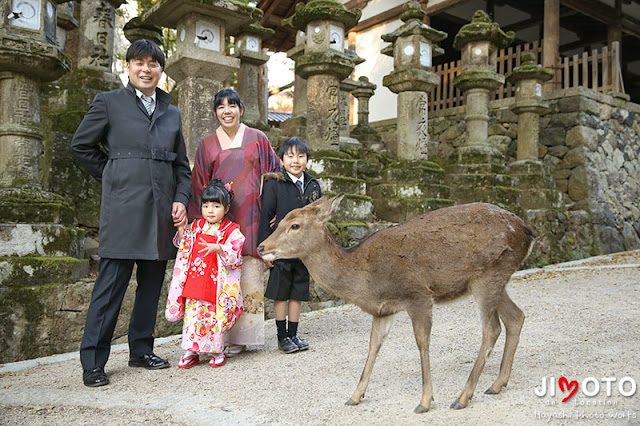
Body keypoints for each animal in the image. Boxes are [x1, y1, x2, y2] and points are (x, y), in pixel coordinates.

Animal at [258, 196, 532, 412]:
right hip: (496, 280)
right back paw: (496, 384)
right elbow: (373, 346)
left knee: (492, 329)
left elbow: (422, 342)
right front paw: (355, 396)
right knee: (516, 317)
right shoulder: (383, 311)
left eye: (295, 225)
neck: (365, 280)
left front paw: (425, 401)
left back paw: (462, 397)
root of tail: (527, 232)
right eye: (279, 221)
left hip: (488, 276)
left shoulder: (418, 295)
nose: (261, 246)